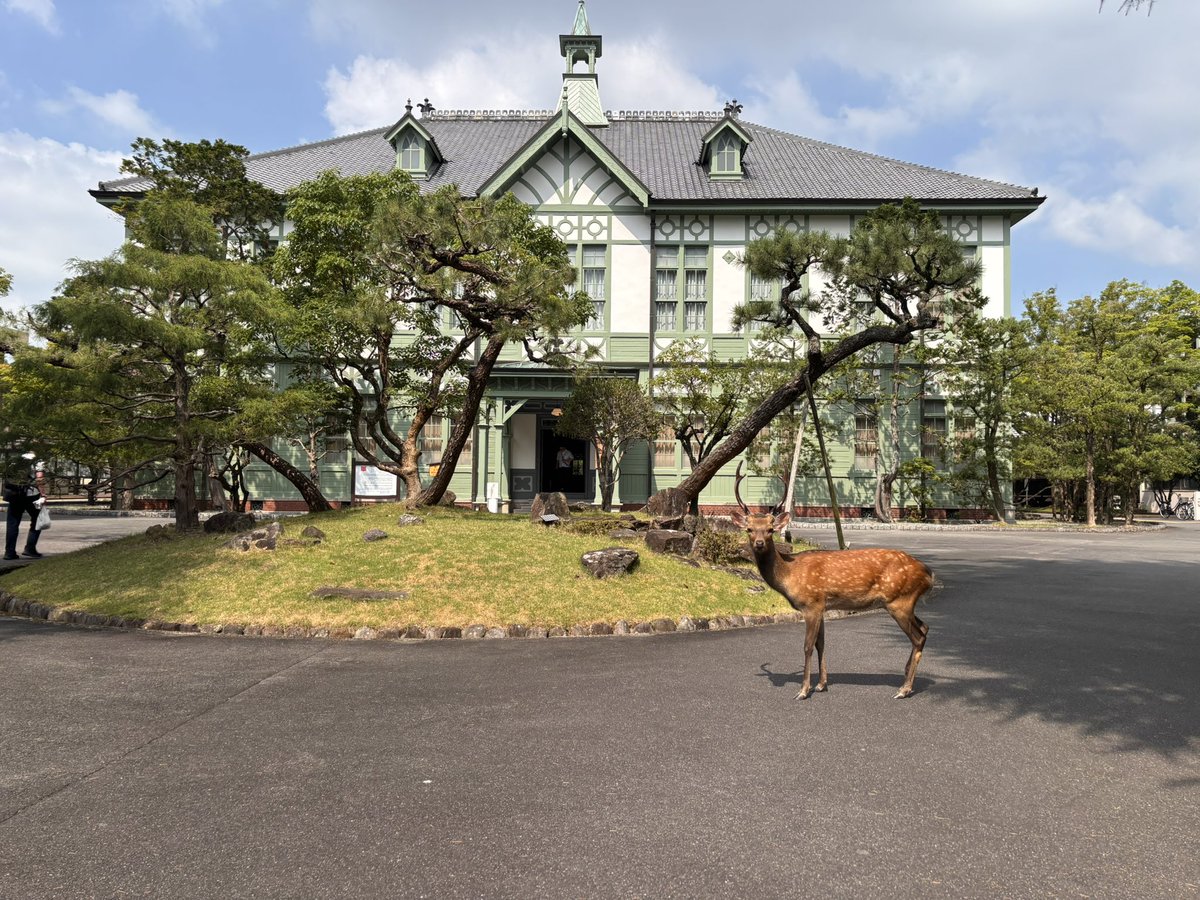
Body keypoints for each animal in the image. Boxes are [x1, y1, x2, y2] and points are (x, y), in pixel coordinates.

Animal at [730, 462, 935, 700]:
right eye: (749, 529)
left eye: (771, 530)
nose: (760, 543)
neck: (790, 575)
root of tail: (929, 574)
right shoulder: (822, 606)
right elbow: (821, 644)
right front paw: (821, 684)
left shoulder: (811, 604)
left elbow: (807, 646)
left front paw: (803, 690)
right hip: (905, 602)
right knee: (925, 627)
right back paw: (905, 676)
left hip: (899, 600)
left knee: (917, 636)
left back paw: (904, 689)